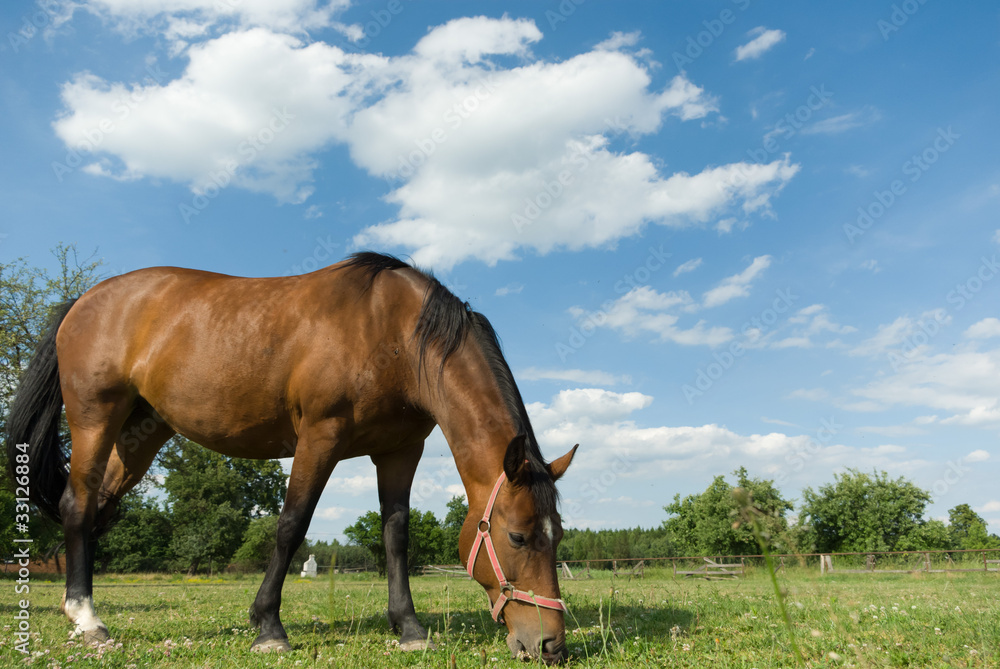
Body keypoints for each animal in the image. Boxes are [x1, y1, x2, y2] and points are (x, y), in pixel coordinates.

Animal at [6, 252, 577, 663]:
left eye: (558, 539)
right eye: (517, 537)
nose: (551, 645)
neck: (393, 330)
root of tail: (81, 300)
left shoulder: (399, 450)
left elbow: (396, 536)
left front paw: (410, 628)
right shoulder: (321, 437)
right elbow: (291, 525)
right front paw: (268, 627)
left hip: (140, 434)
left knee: (97, 509)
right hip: (95, 419)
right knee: (79, 507)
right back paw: (88, 620)